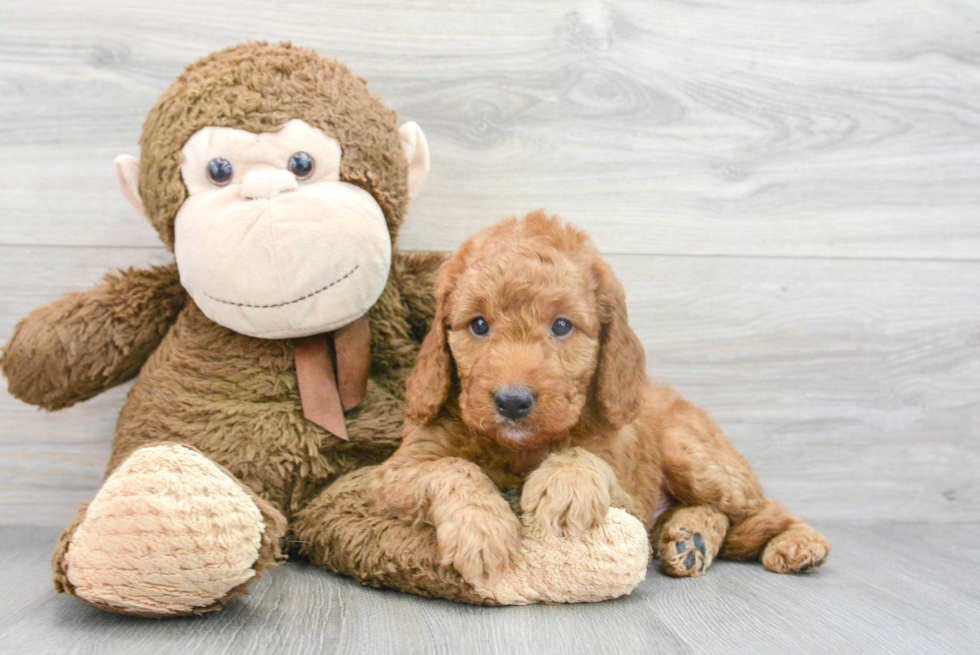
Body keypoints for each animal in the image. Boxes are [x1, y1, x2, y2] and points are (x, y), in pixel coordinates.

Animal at [374, 213, 828, 588]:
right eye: (479, 325)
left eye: (561, 325)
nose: (513, 402)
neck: (519, 449)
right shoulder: (395, 471)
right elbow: (452, 468)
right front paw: (483, 530)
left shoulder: (630, 499)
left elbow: (585, 457)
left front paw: (566, 485)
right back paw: (689, 538)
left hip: (696, 458)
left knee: (761, 509)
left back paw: (798, 544)